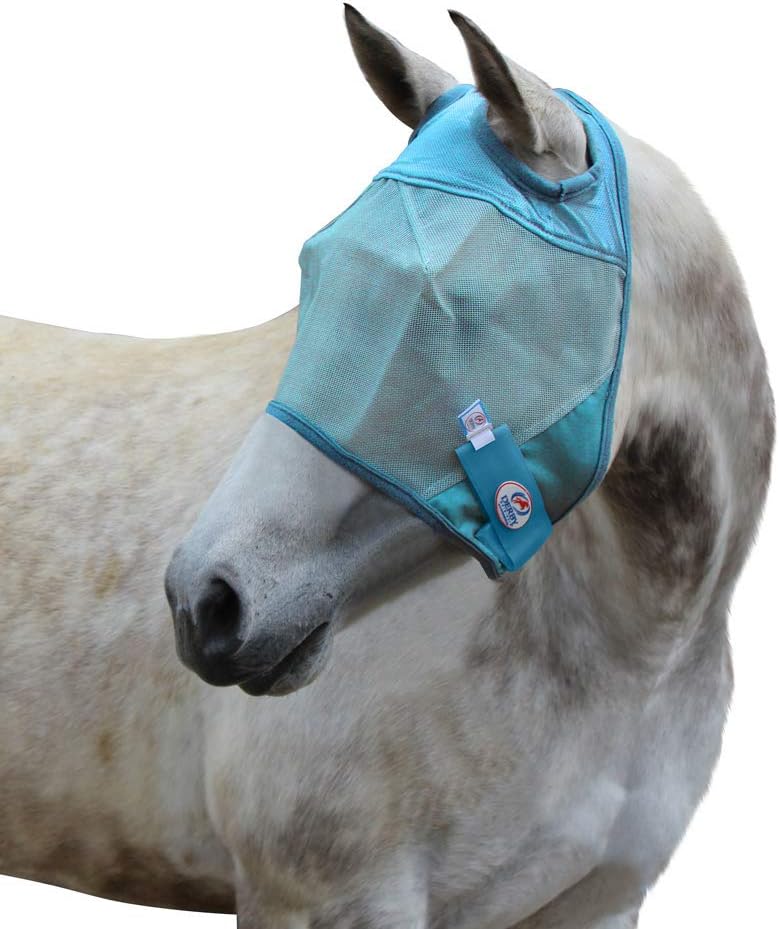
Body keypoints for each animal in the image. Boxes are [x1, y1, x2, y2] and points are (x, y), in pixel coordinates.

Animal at [1, 8, 773, 928]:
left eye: (451, 300)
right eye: (316, 264)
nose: (207, 602)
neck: (624, 658)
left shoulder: (601, 899)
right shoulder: (326, 897)